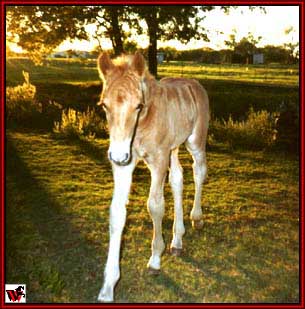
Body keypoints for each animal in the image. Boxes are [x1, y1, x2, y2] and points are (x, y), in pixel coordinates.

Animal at [96, 51, 208, 300]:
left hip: (195, 141)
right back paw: (177, 240)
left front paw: (155, 259)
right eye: (104, 105)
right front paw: (108, 287)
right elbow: (117, 213)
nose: (117, 155)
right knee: (178, 179)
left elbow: (155, 205)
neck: (142, 125)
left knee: (199, 171)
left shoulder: (157, 159)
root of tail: (194, 83)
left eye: (139, 105)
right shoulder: (125, 163)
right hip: (173, 148)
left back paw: (196, 218)